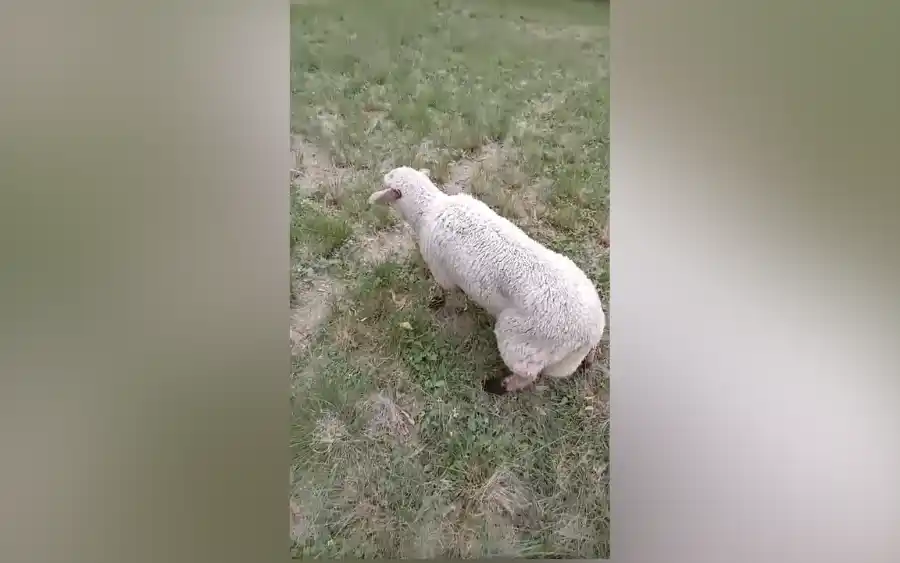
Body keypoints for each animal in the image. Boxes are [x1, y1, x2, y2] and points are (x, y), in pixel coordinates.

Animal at [368, 166, 606, 394]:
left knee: (527, 374)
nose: (381, 178)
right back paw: (589, 361)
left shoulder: (441, 270)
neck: (430, 208)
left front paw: (437, 303)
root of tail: (591, 331)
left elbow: (447, 292)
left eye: (389, 179)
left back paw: (497, 386)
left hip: (522, 341)